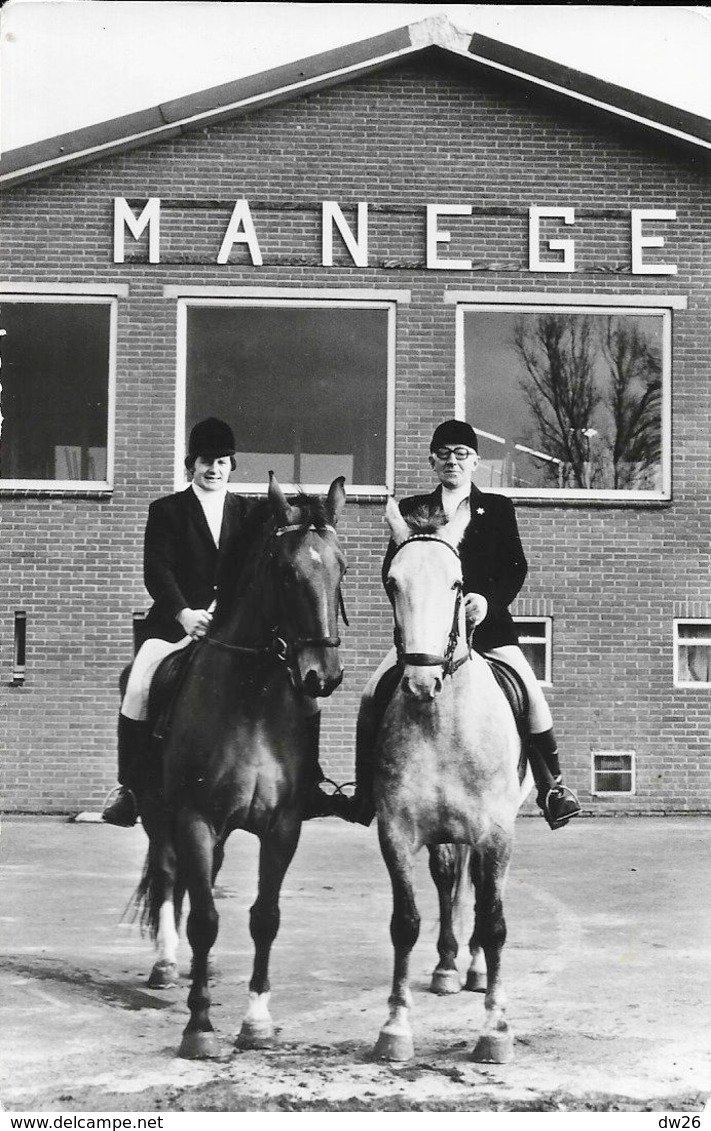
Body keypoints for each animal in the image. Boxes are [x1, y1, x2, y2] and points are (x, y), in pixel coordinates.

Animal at [135, 472, 345, 1054]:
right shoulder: (195, 818)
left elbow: (264, 918)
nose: (322, 676)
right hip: (158, 812)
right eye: (286, 572)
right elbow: (206, 918)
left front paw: (256, 1022)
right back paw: (167, 965)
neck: (252, 699)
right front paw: (199, 1026)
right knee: (169, 875)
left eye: (341, 567)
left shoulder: (283, 826)